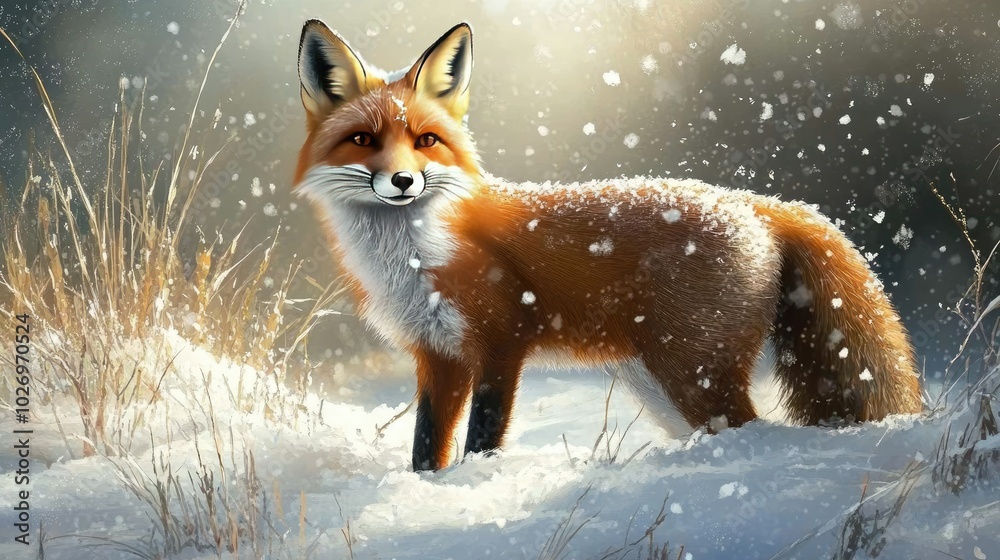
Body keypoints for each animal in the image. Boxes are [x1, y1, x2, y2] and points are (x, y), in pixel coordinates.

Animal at [292, 20, 923, 471]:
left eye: (425, 141)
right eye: (362, 140)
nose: (403, 181)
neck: (414, 257)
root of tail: (756, 202)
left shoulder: (502, 339)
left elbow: (481, 437)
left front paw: (477, 483)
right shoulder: (437, 355)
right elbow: (426, 448)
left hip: (692, 371)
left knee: (752, 429)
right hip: (661, 381)